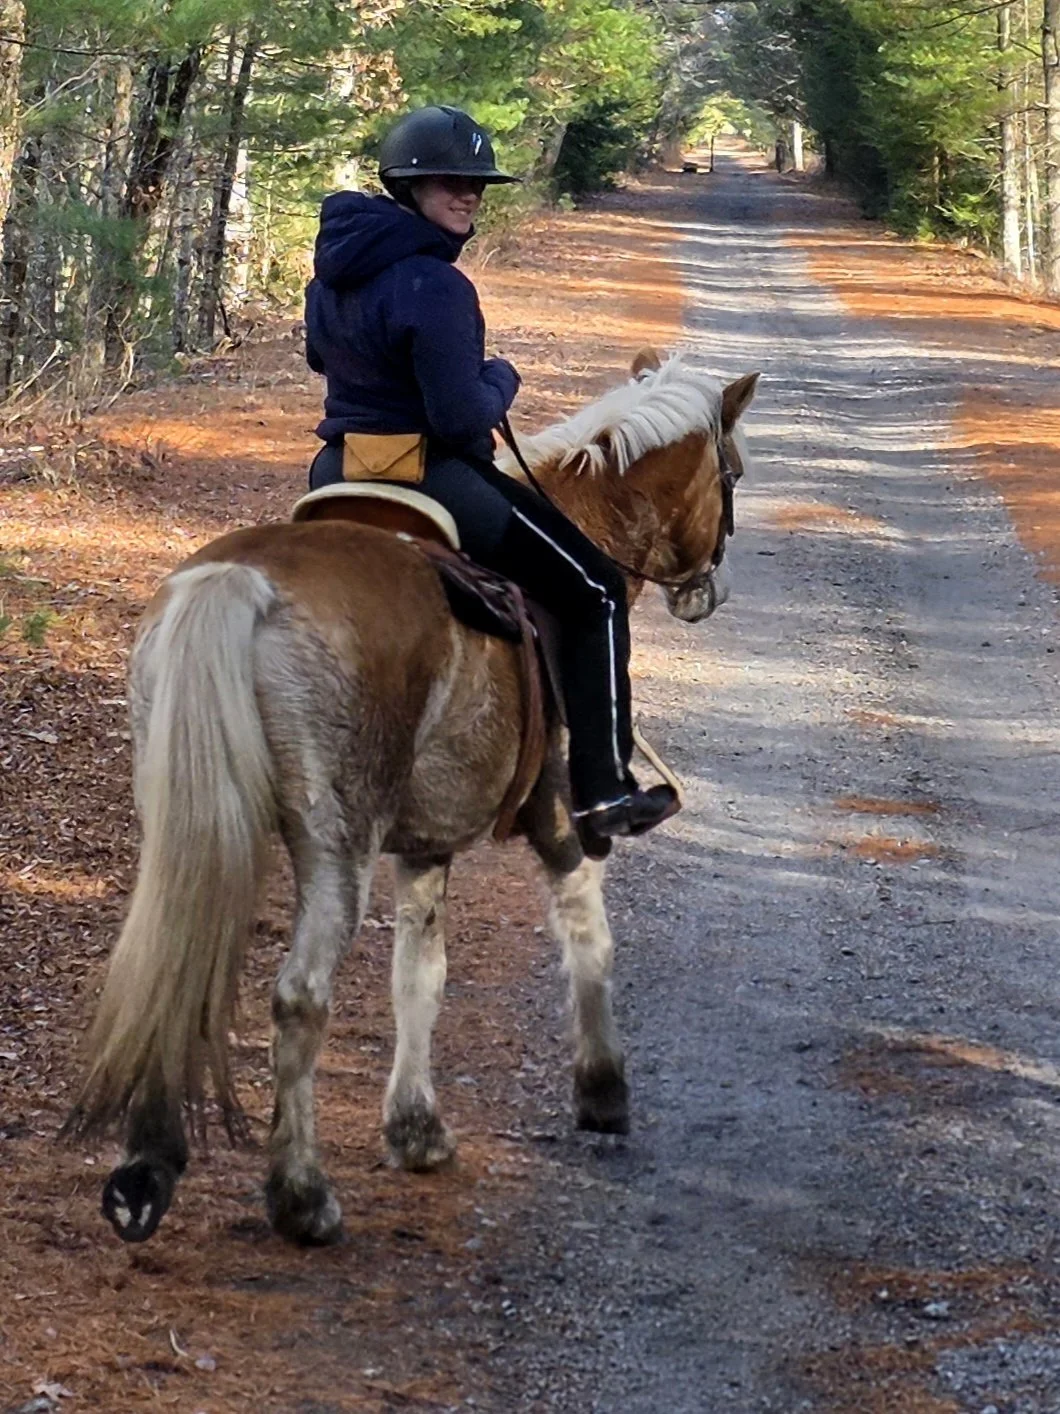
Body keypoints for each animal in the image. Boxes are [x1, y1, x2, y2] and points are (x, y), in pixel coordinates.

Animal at [64, 348, 758, 1246]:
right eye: (731, 472)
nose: (707, 593)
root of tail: (239, 581)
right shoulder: (558, 816)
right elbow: (587, 933)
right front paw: (603, 1090)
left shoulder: (427, 845)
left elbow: (418, 977)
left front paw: (416, 1130)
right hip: (337, 845)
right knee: (299, 998)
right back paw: (302, 1197)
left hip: (185, 825)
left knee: (170, 963)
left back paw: (145, 1174)